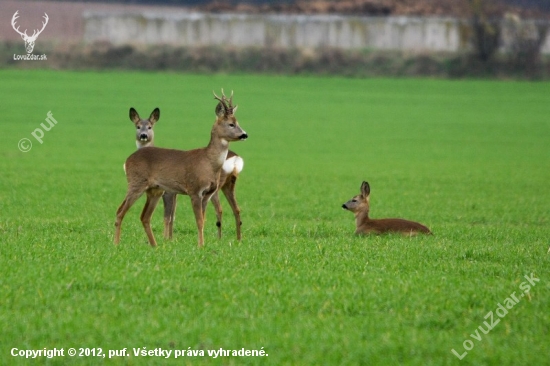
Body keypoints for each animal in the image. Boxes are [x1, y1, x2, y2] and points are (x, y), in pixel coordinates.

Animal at [116, 90, 250, 247]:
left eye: (237, 122)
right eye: (231, 124)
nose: (244, 134)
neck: (208, 162)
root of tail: (127, 160)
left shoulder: (207, 194)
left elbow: (202, 220)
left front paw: (200, 244)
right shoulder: (194, 190)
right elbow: (198, 221)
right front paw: (200, 246)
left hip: (154, 190)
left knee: (144, 216)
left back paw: (155, 246)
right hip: (136, 183)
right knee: (120, 211)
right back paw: (116, 244)